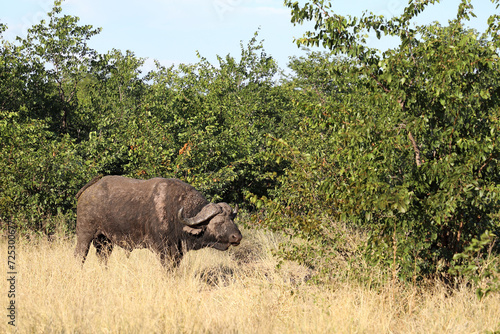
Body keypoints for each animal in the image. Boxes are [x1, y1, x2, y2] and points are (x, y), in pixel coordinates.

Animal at [73, 175, 242, 266]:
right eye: (218, 222)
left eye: (232, 220)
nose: (237, 237)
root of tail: (89, 190)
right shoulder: (163, 250)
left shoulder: (178, 253)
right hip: (84, 236)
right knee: (79, 256)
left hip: (105, 241)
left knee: (103, 258)